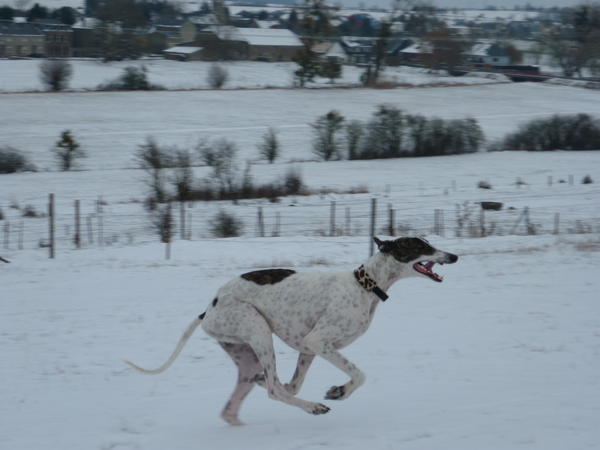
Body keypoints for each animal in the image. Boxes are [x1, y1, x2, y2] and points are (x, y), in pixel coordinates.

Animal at [124, 236, 458, 426]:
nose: (453, 256)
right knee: (274, 390)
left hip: (246, 355)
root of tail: (209, 307)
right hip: (257, 330)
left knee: (252, 395)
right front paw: (339, 391)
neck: (365, 284)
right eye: (422, 246)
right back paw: (313, 408)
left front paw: (335, 389)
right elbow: (359, 374)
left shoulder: (307, 348)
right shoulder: (318, 341)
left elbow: (294, 384)